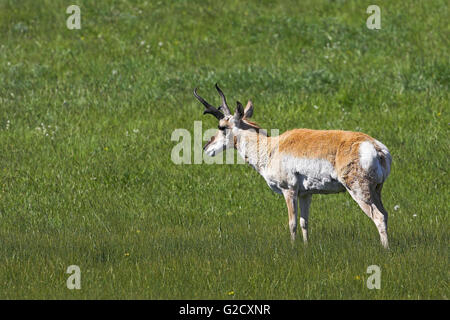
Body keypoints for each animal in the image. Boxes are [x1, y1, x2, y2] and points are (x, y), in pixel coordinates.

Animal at [195, 84, 392, 248]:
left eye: (221, 127)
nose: (205, 147)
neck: (271, 148)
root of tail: (375, 147)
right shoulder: (306, 194)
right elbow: (305, 222)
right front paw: (305, 247)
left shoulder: (288, 190)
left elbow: (292, 223)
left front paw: (292, 248)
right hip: (376, 191)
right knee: (386, 214)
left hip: (359, 191)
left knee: (378, 217)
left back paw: (385, 249)